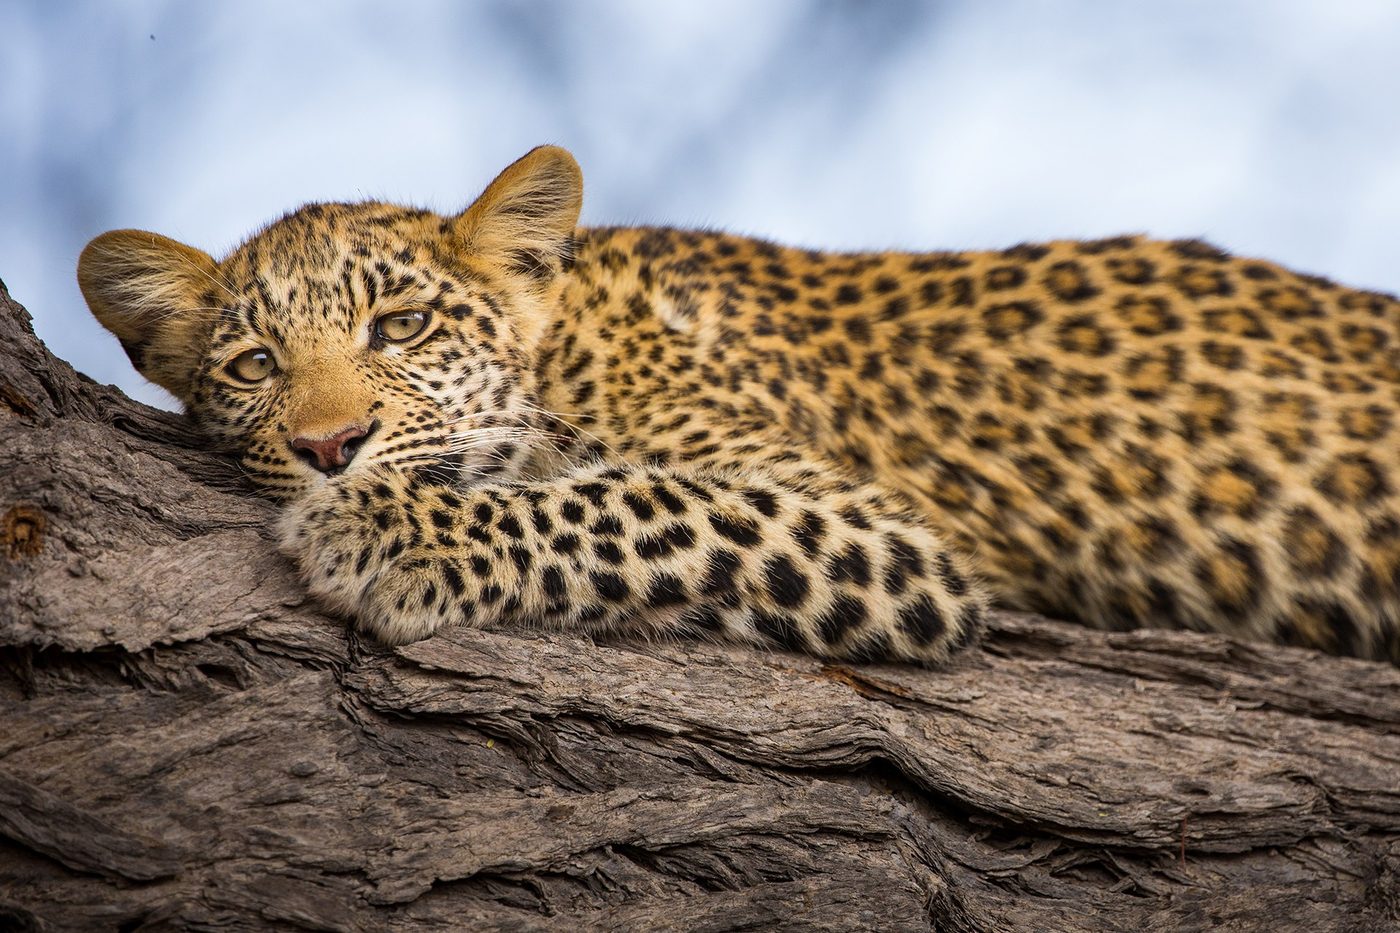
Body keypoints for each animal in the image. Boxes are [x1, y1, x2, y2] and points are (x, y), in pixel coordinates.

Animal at [77, 145, 1400, 665]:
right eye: (253, 366)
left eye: (399, 328)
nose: (330, 447)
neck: (568, 346)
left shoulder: (886, 536)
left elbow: (640, 504)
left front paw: (385, 529)